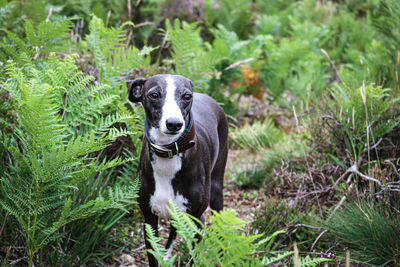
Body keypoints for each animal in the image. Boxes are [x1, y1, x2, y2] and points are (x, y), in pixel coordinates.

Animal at [128, 74, 228, 266]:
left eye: (187, 96)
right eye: (154, 94)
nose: (174, 124)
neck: (169, 153)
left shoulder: (197, 220)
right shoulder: (149, 220)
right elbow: (154, 256)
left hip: (216, 188)